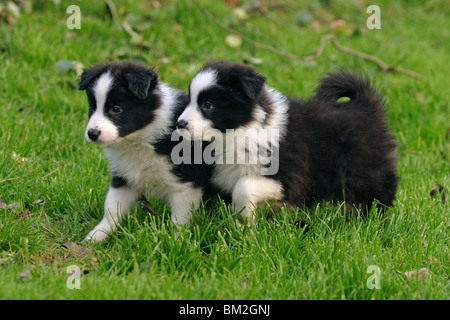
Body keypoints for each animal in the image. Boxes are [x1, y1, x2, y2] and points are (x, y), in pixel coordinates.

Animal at [78, 62, 212, 242]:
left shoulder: (186, 183)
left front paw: (177, 241)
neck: (139, 139)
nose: (92, 133)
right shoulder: (124, 175)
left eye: (116, 109)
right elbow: (112, 207)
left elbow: (180, 219)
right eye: (92, 107)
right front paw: (98, 235)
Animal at [178, 60, 400, 225]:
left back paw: (373, 221)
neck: (242, 130)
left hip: (363, 167)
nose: (180, 123)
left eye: (208, 105)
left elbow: (245, 185)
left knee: (379, 191)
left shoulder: (289, 177)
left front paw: (245, 221)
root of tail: (365, 103)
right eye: (190, 101)